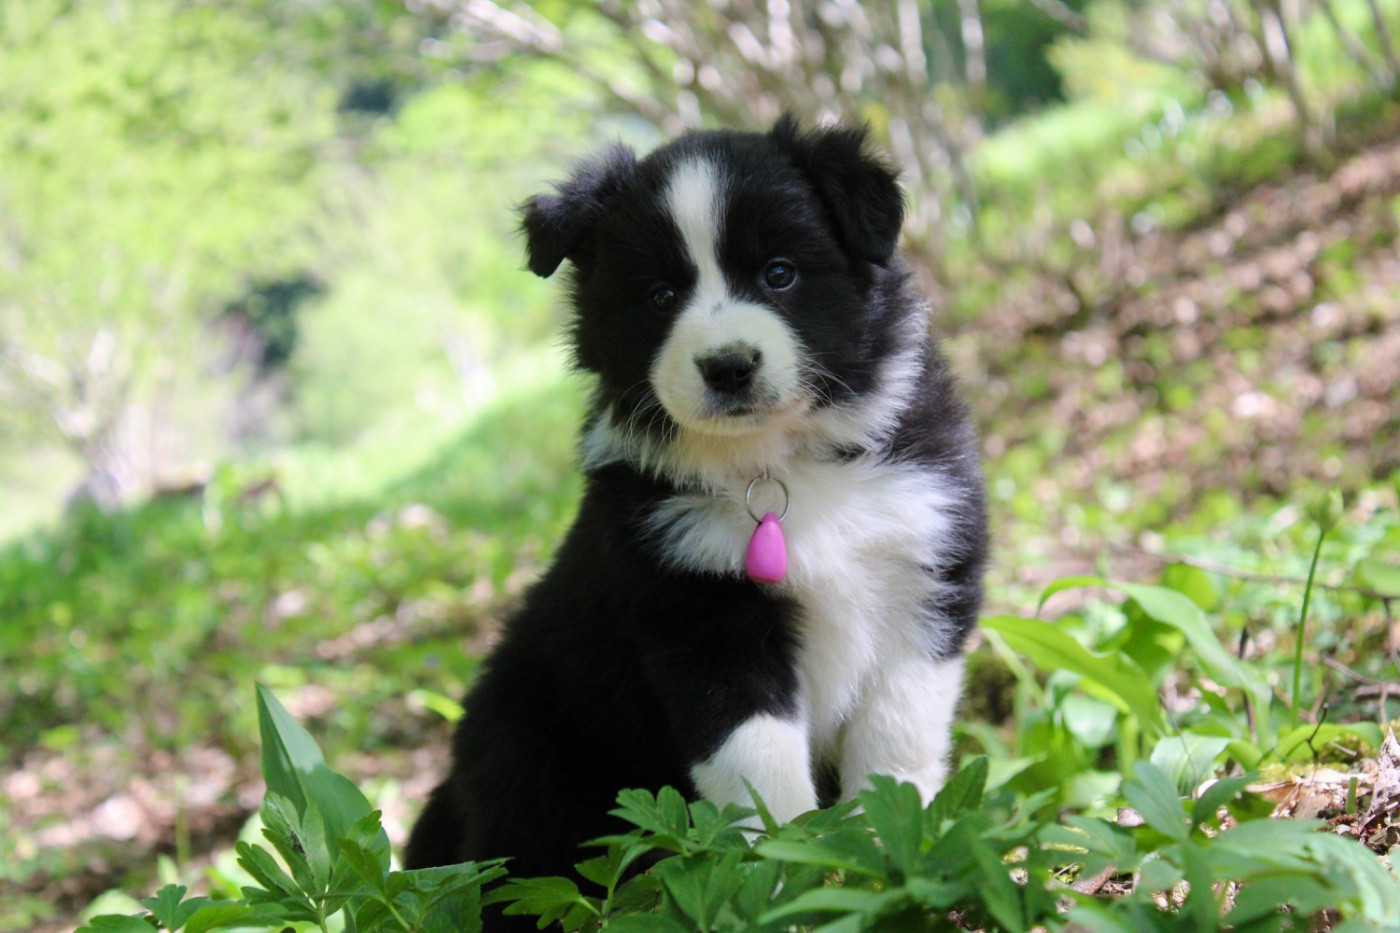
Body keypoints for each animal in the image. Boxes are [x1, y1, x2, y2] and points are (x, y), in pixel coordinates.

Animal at [405, 116, 988, 899]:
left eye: (780, 272)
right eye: (659, 296)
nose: (728, 365)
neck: (776, 470)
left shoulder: (928, 567)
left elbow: (897, 740)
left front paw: (894, 860)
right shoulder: (698, 618)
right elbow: (758, 770)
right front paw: (787, 883)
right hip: (533, 773)